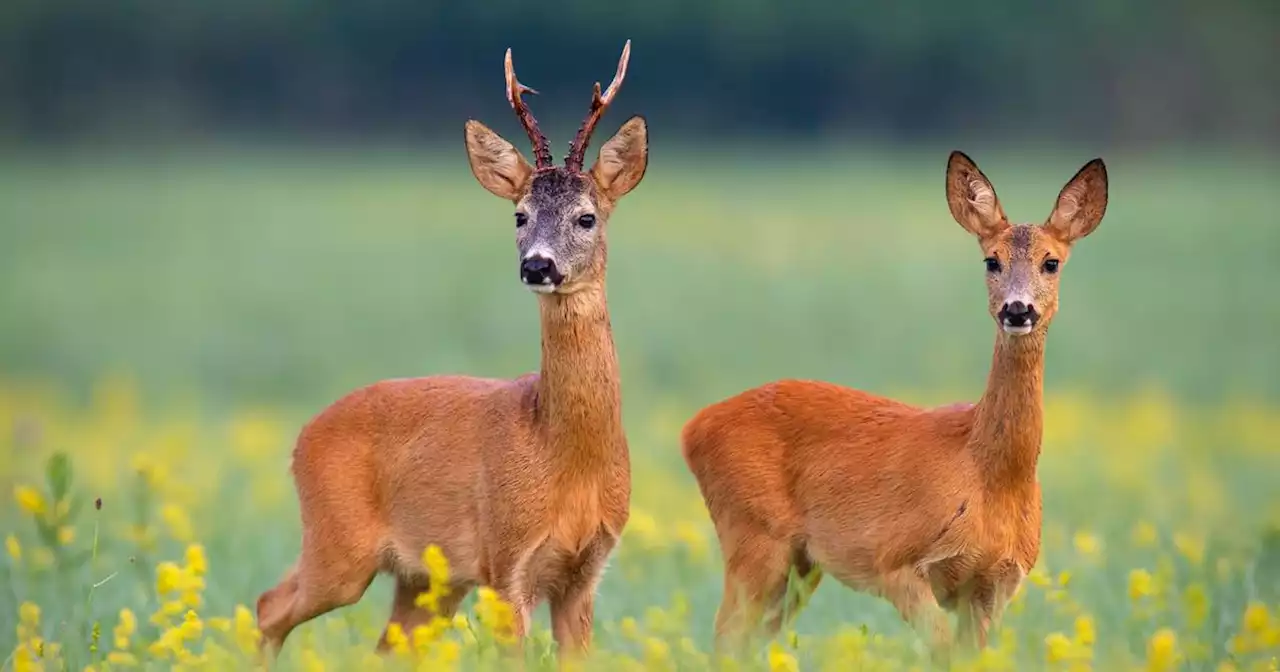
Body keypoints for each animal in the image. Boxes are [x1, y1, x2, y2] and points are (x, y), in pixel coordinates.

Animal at [256, 40, 650, 660]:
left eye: (587, 217)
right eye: (519, 215)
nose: (537, 265)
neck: (563, 455)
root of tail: (301, 439)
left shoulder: (586, 572)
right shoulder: (505, 559)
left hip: (425, 579)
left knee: (383, 644)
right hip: (338, 546)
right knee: (268, 606)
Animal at [680, 149, 1111, 655]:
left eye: (1051, 262)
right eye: (991, 260)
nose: (1017, 309)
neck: (989, 475)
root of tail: (692, 428)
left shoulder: (995, 584)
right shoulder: (896, 561)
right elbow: (941, 651)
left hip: (799, 564)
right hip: (752, 533)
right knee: (725, 636)